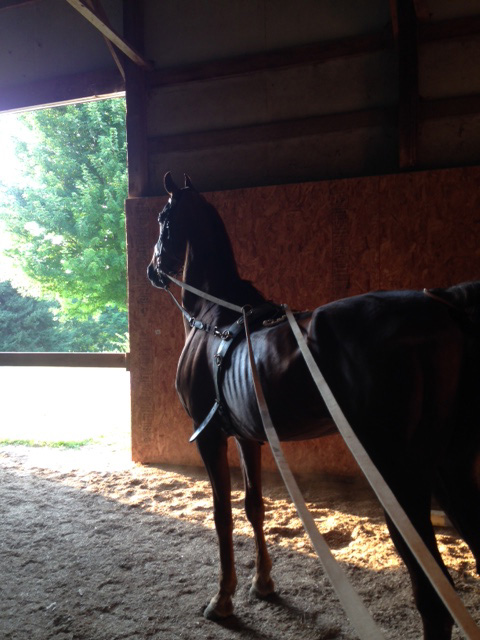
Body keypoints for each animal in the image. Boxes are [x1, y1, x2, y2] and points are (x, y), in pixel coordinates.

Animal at [147, 174, 480, 640]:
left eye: (163, 217)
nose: (152, 270)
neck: (216, 318)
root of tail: (443, 306)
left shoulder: (210, 436)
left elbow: (221, 515)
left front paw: (223, 599)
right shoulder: (248, 437)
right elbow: (254, 506)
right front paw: (263, 583)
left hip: (402, 480)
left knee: (433, 602)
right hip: (452, 470)